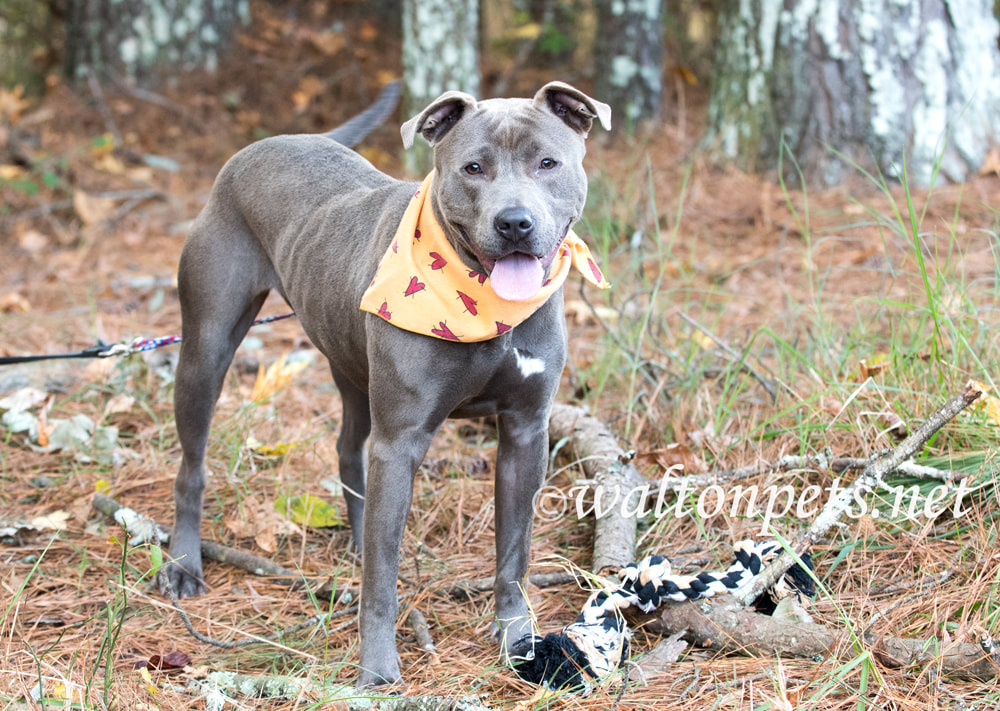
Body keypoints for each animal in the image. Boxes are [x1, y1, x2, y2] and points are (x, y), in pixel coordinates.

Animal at [164, 78, 608, 684]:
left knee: (349, 450)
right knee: (192, 467)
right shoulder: (401, 443)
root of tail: (271, 142)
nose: (514, 222)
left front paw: (519, 643)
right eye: (473, 168)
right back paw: (184, 564)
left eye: (547, 162)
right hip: (206, 350)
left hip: (351, 368)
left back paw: (354, 538)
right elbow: (382, 578)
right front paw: (376, 672)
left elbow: (513, 556)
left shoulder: (525, 432)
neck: (483, 303)